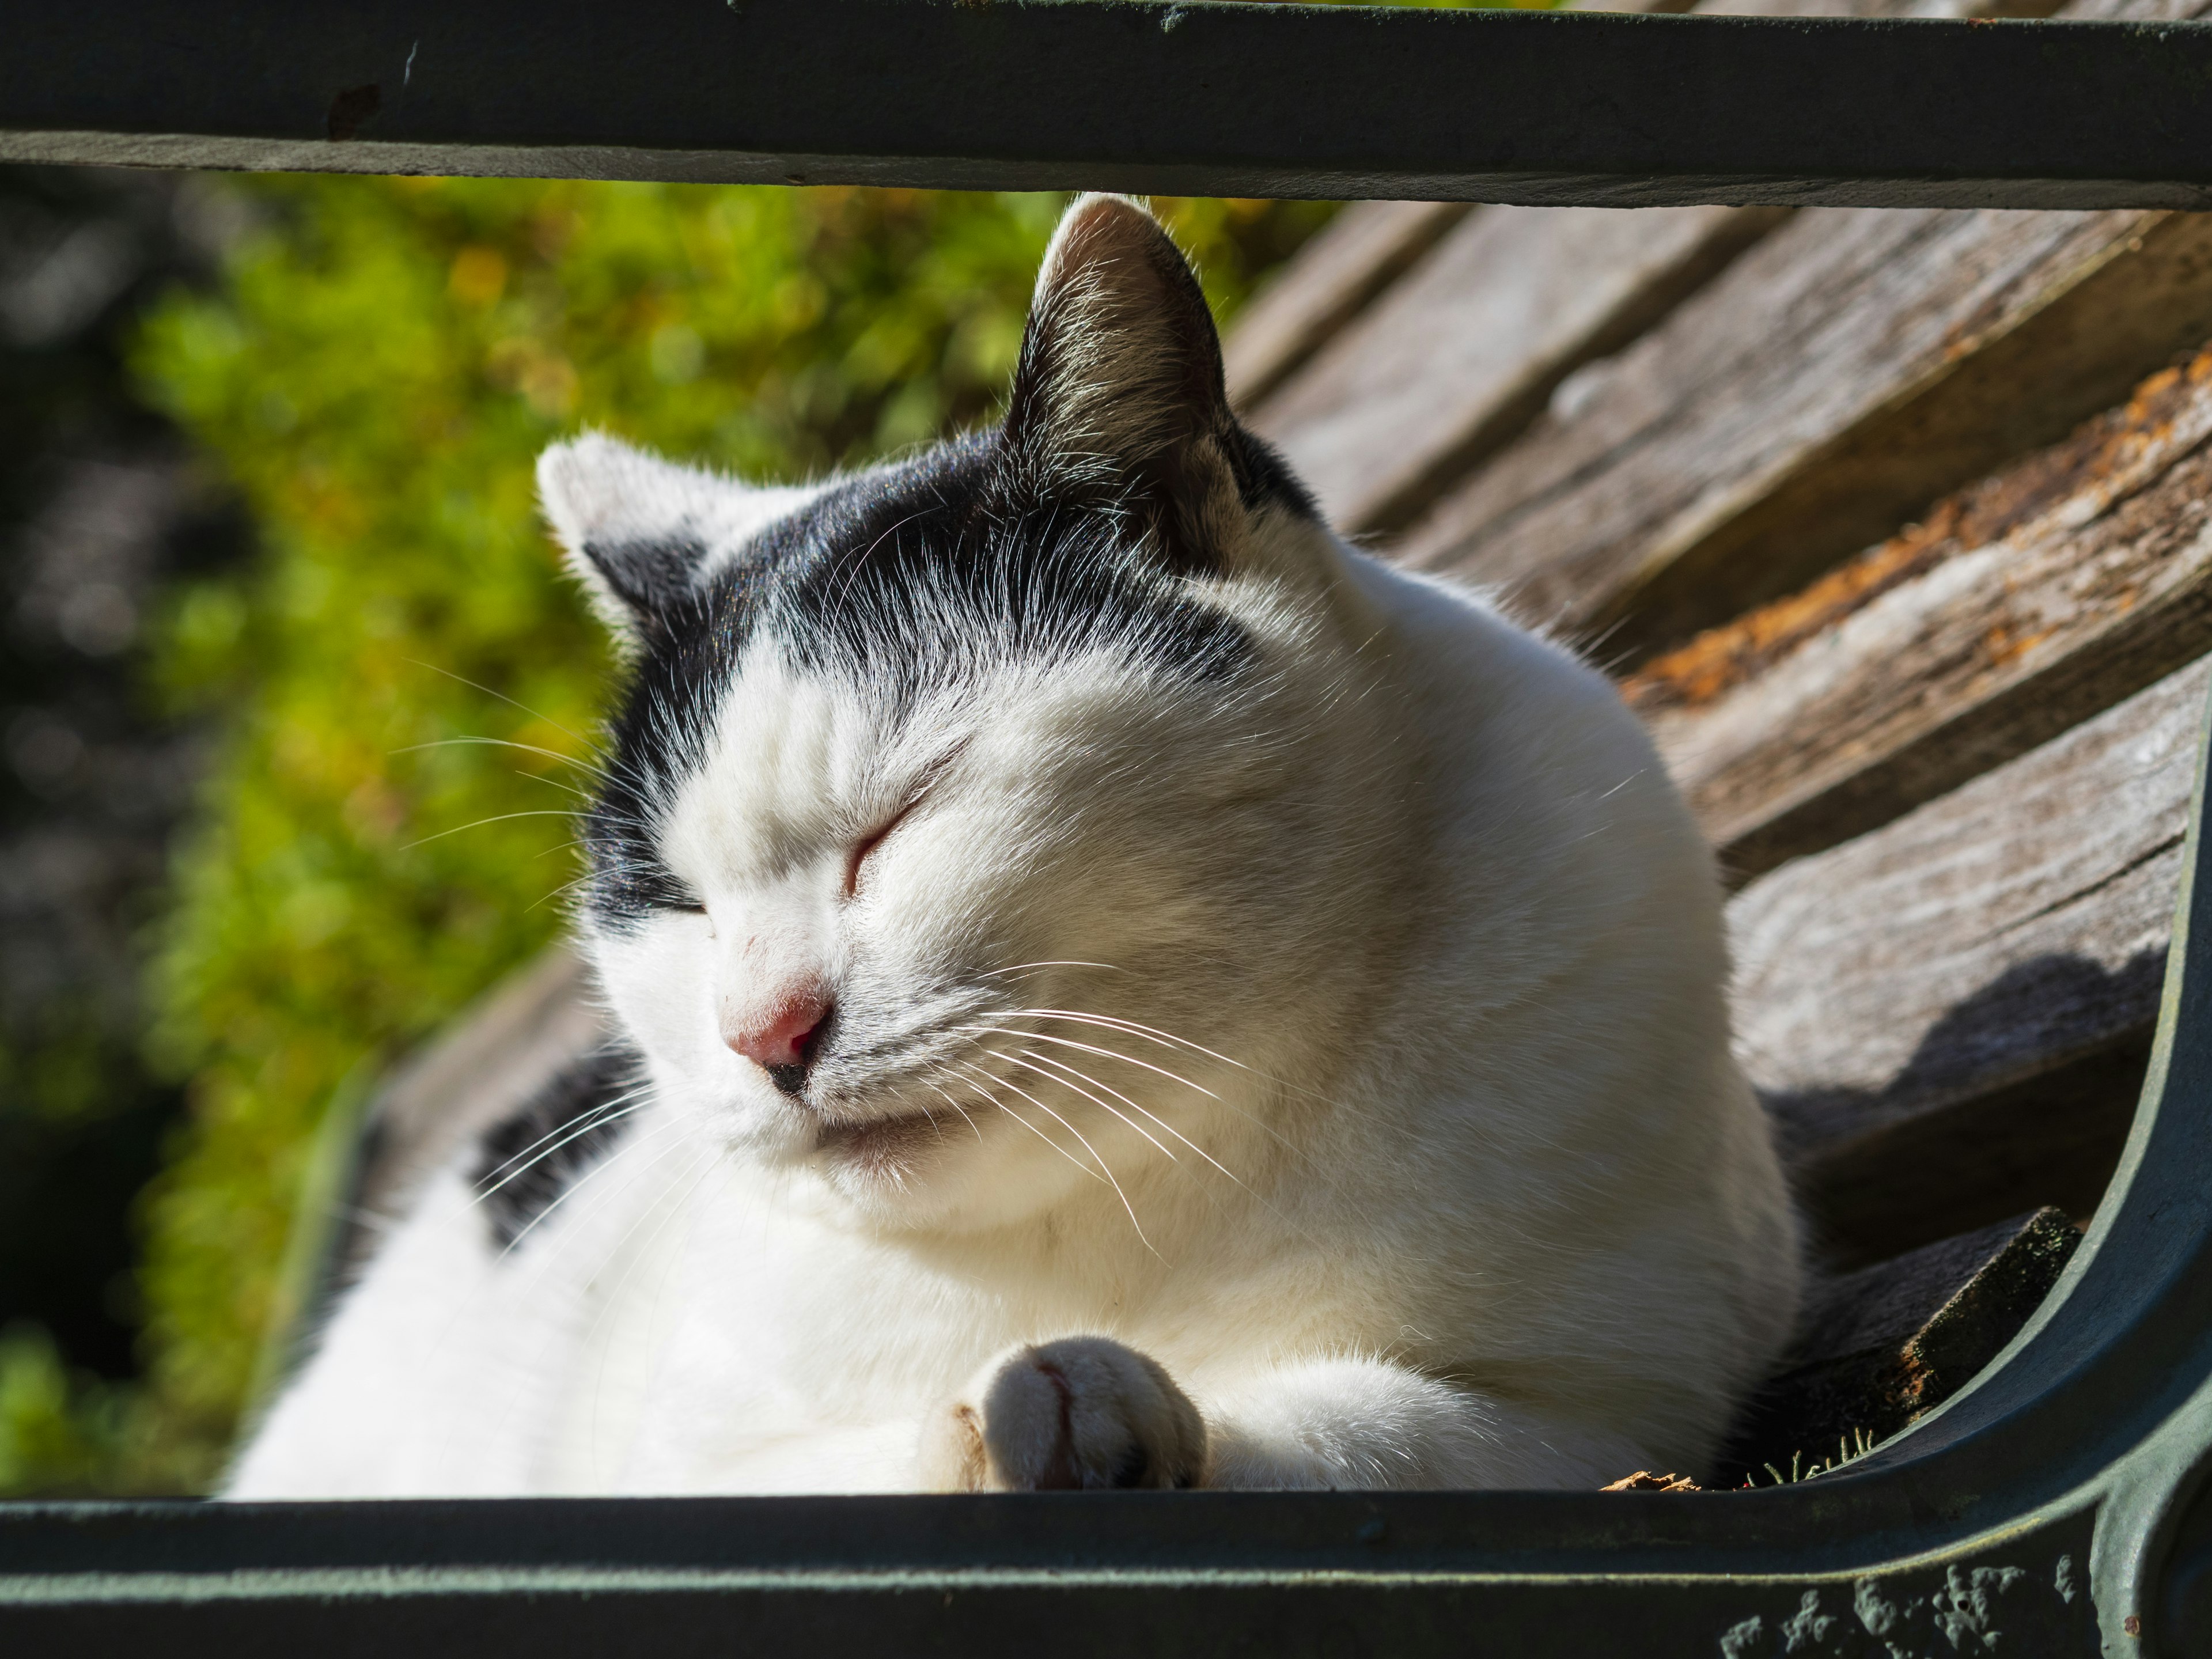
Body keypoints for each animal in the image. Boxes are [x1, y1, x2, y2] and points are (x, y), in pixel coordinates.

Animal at [229, 194, 1796, 1504]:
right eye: (678, 905)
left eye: (899, 818)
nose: (762, 1031)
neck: (1141, 1192)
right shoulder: (686, 1458)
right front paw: (999, 1424)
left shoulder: (1600, 1403)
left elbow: (1372, 1432)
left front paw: (1109, 1418)